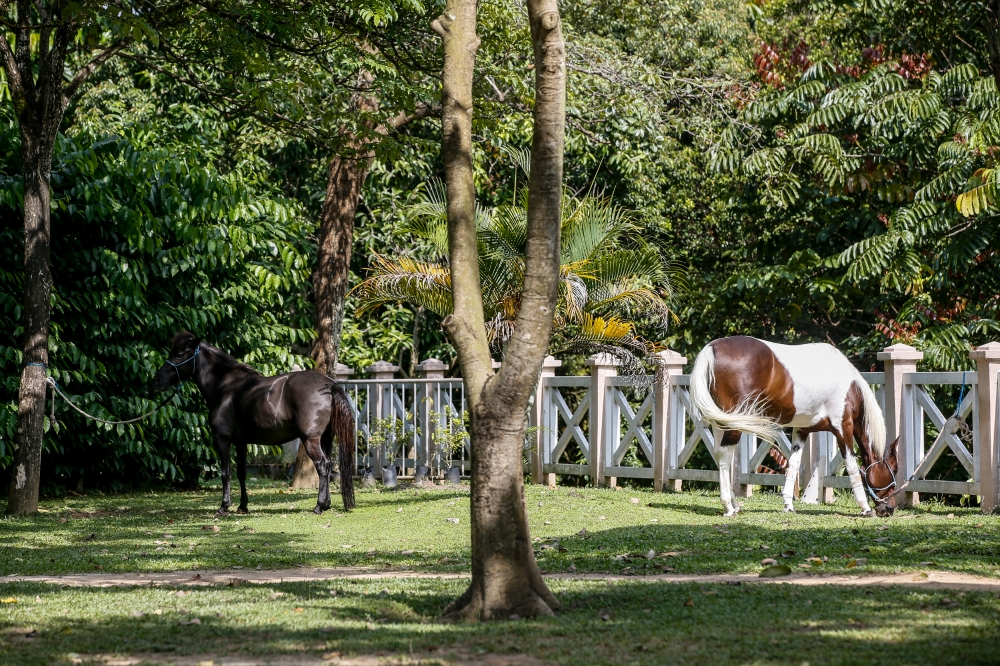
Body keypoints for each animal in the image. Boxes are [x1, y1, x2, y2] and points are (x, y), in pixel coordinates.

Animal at [146, 332, 354, 512]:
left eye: (180, 354)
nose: (157, 380)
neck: (225, 386)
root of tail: (328, 384)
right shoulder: (241, 442)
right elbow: (241, 473)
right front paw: (242, 506)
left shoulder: (222, 439)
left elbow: (226, 473)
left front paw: (224, 506)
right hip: (325, 439)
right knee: (328, 465)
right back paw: (326, 504)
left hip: (310, 440)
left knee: (322, 466)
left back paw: (319, 506)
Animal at [696, 334, 900, 516]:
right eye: (895, 469)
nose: (889, 509)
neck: (849, 386)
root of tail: (712, 348)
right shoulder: (843, 428)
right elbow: (851, 466)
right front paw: (865, 508)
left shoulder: (802, 431)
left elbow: (793, 465)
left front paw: (788, 505)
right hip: (734, 424)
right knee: (724, 457)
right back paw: (728, 507)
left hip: (721, 423)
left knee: (719, 455)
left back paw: (735, 504)